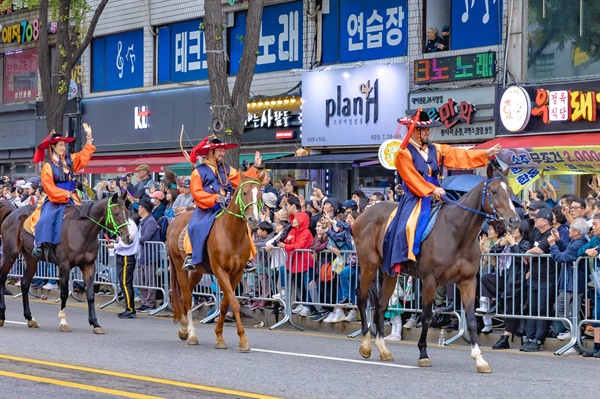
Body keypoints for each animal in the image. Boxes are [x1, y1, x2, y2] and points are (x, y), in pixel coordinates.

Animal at [0, 194, 131, 334]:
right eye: (116, 213)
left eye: (127, 213)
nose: (129, 237)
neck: (82, 230)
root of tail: (13, 212)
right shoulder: (64, 266)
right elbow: (63, 293)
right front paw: (63, 322)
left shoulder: (89, 266)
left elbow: (90, 295)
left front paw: (95, 323)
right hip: (10, 254)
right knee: (2, 278)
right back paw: (2, 316)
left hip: (31, 259)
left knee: (24, 284)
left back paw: (30, 318)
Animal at [169, 173, 262, 352]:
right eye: (245, 193)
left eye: (260, 194)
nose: (253, 220)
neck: (231, 234)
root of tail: (173, 223)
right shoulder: (220, 271)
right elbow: (234, 303)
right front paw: (243, 340)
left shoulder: (237, 273)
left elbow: (226, 304)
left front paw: (219, 336)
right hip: (179, 266)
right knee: (186, 296)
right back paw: (191, 334)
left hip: (198, 271)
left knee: (188, 292)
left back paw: (184, 328)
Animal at [352, 164, 520, 374]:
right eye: (494, 191)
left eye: (511, 192)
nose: (514, 221)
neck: (457, 234)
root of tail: (363, 214)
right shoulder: (430, 281)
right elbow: (426, 317)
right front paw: (423, 354)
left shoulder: (468, 281)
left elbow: (471, 320)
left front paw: (479, 359)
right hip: (368, 264)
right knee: (362, 298)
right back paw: (366, 345)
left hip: (389, 271)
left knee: (381, 305)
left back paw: (383, 349)